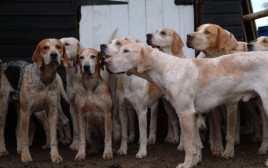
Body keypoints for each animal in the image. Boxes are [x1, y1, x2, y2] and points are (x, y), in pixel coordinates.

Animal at [103, 42, 268, 168]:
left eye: (126, 51)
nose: (105, 63)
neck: (167, 69)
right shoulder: (193, 115)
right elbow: (196, 144)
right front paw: (195, 161)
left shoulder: (185, 113)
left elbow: (188, 146)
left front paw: (187, 164)